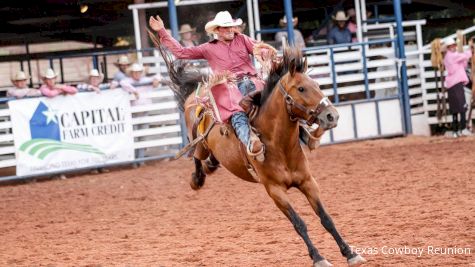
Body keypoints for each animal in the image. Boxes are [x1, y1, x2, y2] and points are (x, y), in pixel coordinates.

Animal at [160, 46, 364, 266]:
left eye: (317, 85)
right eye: (301, 88)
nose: (332, 116)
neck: (280, 146)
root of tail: (197, 93)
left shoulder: (308, 181)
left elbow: (326, 218)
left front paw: (350, 252)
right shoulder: (274, 190)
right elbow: (299, 223)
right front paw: (318, 257)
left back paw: (210, 166)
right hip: (200, 143)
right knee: (196, 156)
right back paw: (196, 180)